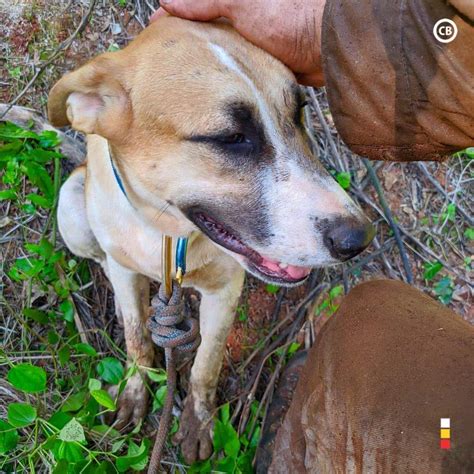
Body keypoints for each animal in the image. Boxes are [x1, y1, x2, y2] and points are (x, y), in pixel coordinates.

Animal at [48, 17, 374, 462]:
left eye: (299, 113)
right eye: (230, 137)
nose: (358, 237)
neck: (169, 237)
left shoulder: (225, 290)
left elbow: (207, 361)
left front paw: (198, 423)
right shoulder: (127, 267)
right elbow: (136, 338)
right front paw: (135, 390)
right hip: (71, 204)